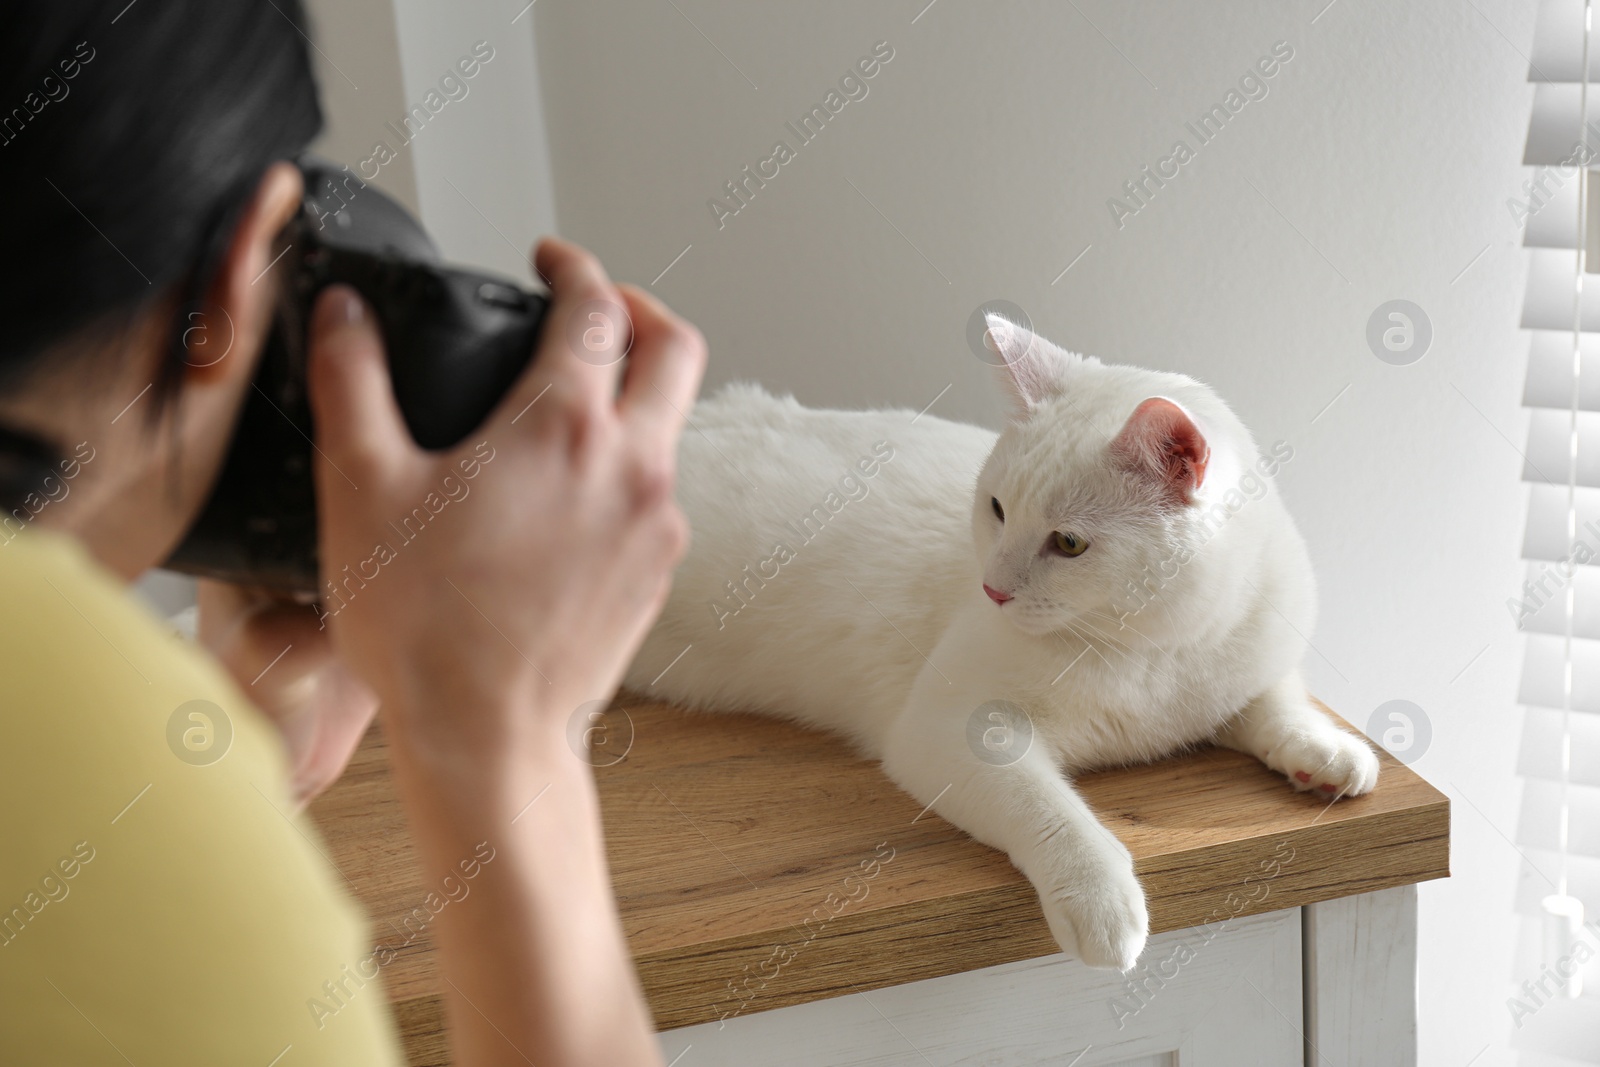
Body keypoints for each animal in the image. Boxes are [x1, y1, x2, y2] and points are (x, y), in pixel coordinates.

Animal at [620, 315, 1376, 966]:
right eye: (997, 509)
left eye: (1068, 543)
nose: (993, 589)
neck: (1148, 652)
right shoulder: (948, 728)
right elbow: (1046, 810)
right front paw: (1101, 899)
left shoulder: (1247, 663)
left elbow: (1276, 703)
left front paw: (1326, 752)